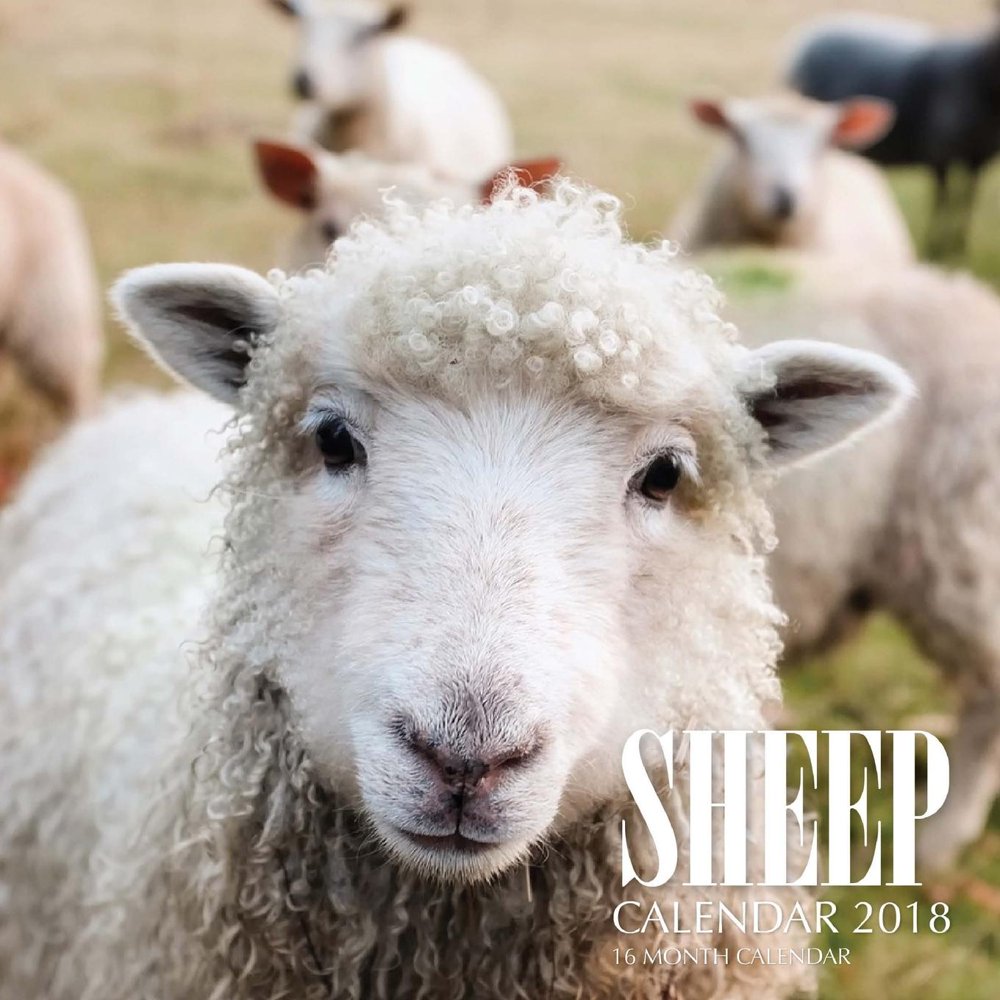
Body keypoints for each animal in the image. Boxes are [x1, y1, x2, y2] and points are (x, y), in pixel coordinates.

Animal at [787, 11, 1000, 258]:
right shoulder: (939, 154)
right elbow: (944, 200)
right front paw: (937, 246)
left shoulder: (978, 158)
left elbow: (966, 200)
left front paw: (957, 245)